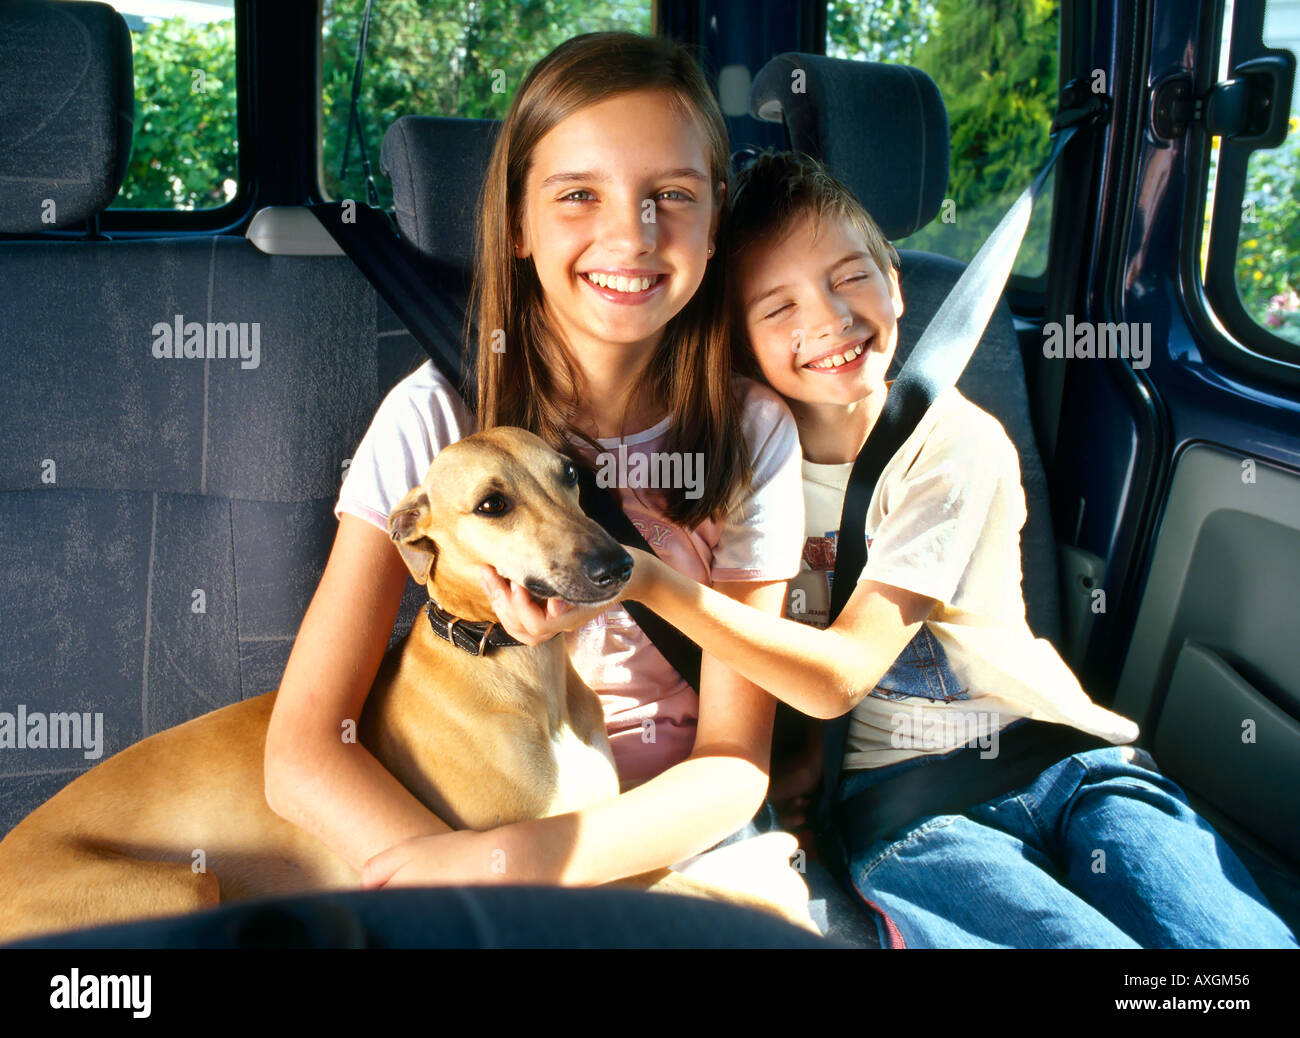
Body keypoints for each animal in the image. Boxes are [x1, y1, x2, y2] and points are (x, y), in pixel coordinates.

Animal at [0, 426, 811, 946]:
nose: (617, 565)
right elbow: (695, 891)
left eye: (570, 477)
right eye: (492, 504)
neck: (514, 670)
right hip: (178, 887)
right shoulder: (543, 864)